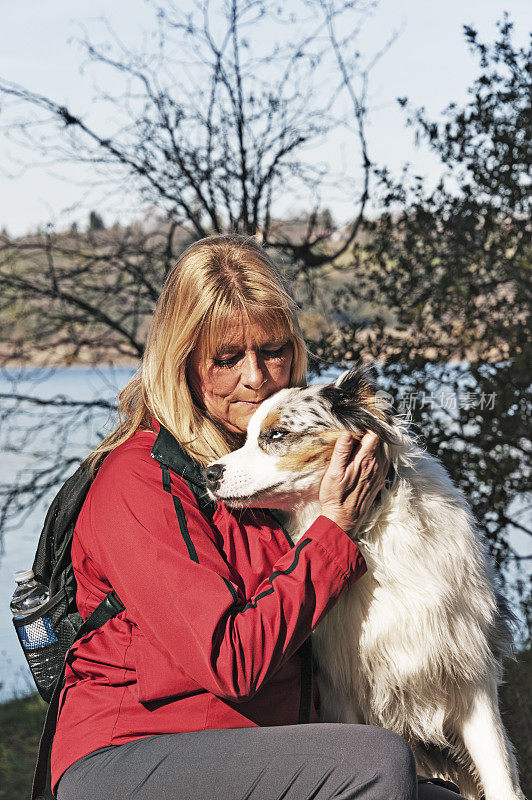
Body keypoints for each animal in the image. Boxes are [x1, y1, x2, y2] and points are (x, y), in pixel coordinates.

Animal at [204, 368, 524, 800]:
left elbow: (499, 773)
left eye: (276, 434)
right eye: (247, 436)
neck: (371, 534)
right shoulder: (341, 689)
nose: (209, 473)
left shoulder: (469, 673)